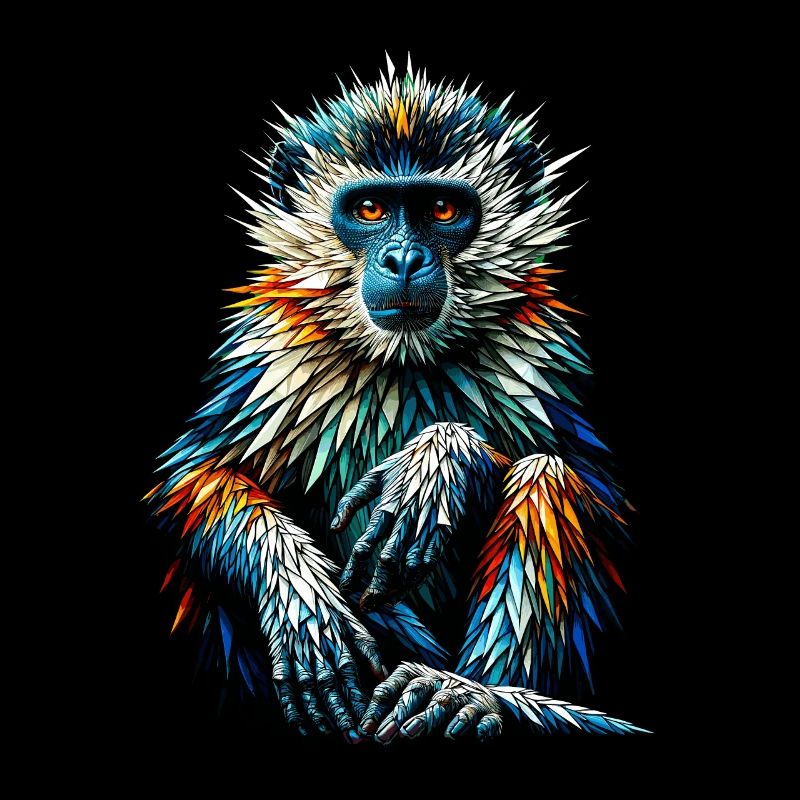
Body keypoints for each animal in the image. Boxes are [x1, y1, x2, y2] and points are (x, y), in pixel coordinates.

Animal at [147, 55, 645, 740]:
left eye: (440, 209)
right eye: (370, 208)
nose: (404, 258)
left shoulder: (538, 353)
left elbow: (594, 489)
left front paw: (440, 464)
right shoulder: (271, 354)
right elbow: (194, 480)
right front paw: (304, 606)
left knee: (549, 478)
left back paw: (474, 695)